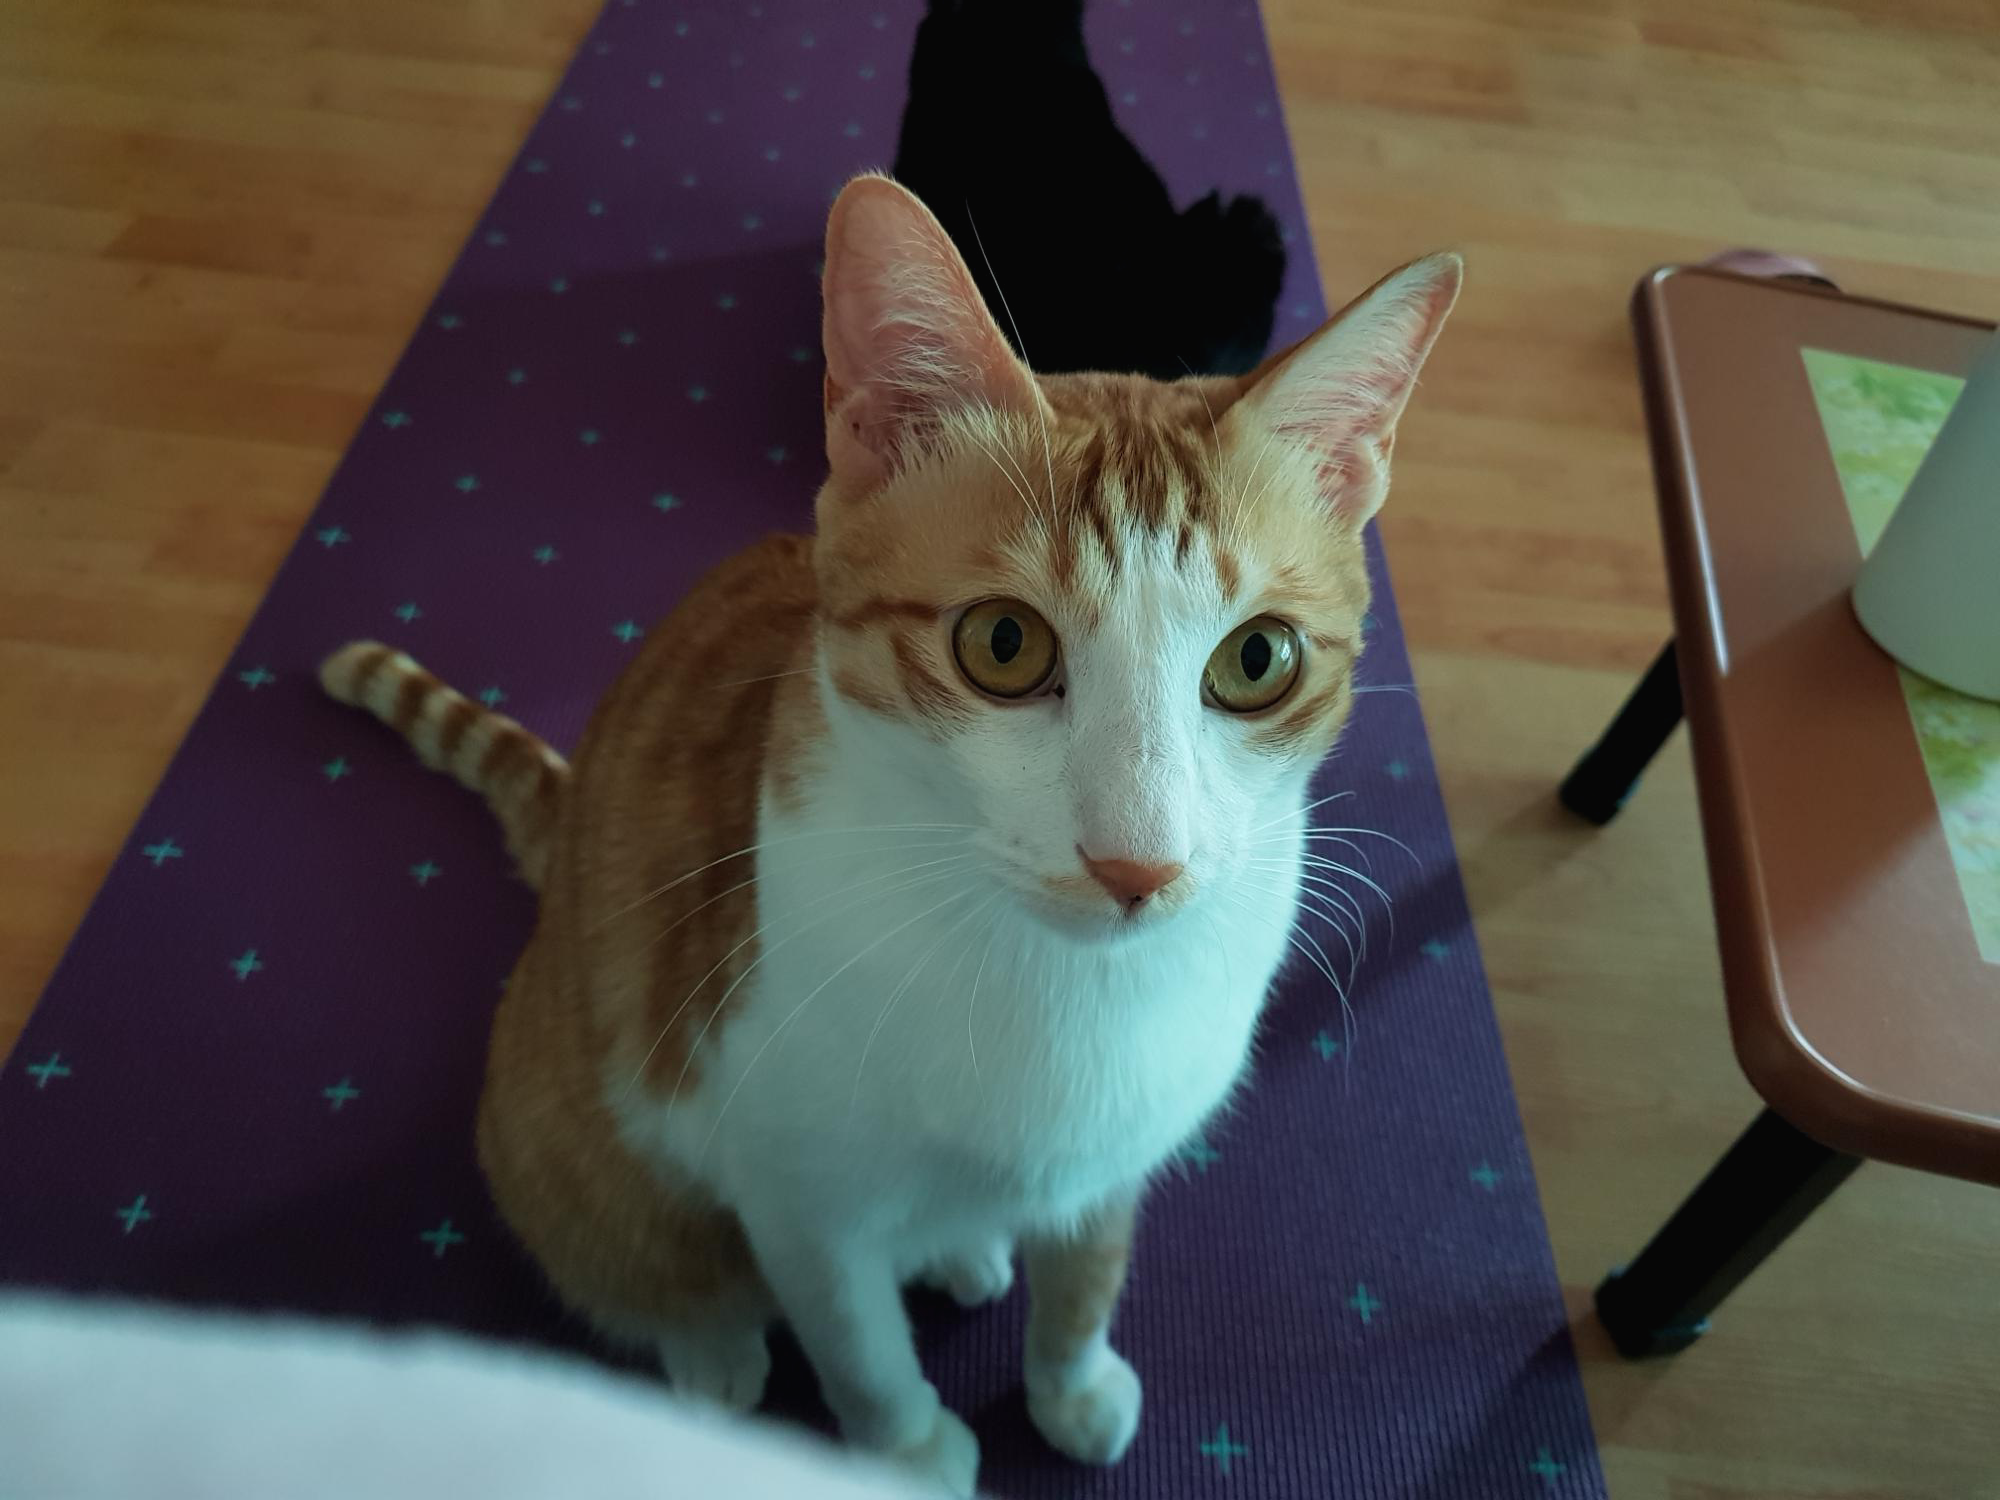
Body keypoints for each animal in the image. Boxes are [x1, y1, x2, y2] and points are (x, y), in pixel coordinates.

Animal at [321, 175, 1459, 1496]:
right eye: (1002, 644)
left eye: (1256, 660)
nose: (1135, 863)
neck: (1063, 996)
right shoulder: (794, 1190)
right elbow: (854, 1343)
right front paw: (905, 1450)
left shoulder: (1113, 1155)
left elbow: (1086, 1279)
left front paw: (1070, 1384)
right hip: (557, 1120)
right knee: (643, 1259)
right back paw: (709, 1352)